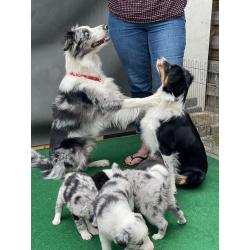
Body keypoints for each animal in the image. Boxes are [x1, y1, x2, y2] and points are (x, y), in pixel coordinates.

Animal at [31, 23, 141, 180]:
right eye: (86, 33)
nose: (106, 25)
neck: (87, 73)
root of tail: (50, 162)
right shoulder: (107, 103)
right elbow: (138, 101)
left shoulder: (114, 97)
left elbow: (133, 100)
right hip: (73, 147)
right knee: (66, 170)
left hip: (88, 140)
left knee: (83, 163)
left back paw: (99, 162)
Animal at [122, 57, 207, 188]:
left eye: (170, 67)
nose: (161, 57)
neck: (167, 102)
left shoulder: (166, 147)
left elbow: (169, 170)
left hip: (197, 175)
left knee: (182, 178)